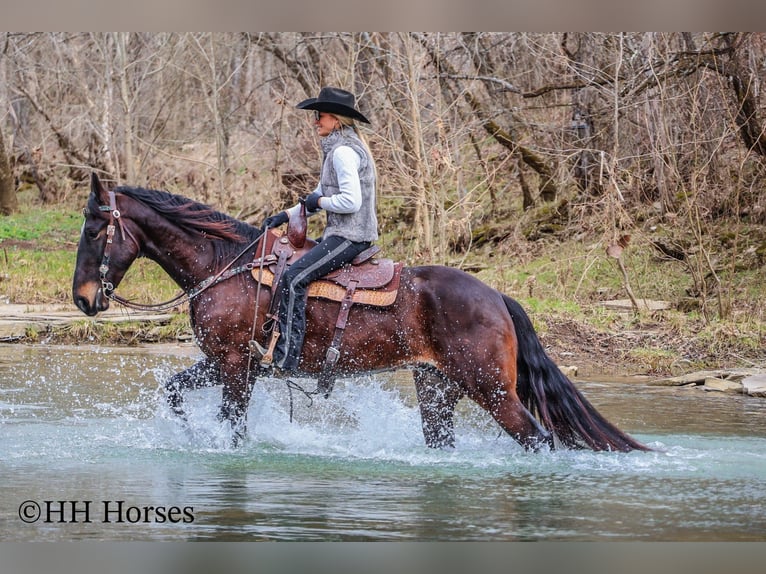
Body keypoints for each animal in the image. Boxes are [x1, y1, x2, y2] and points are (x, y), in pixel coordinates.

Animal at [72, 173, 649, 453]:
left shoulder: (234, 365)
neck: (225, 267)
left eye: (96, 230)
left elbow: (232, 428)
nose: (82, 298)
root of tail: (497, 298)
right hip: (437, 387)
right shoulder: (227, 363)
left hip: (490, 388)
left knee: (537, 438)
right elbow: (172, 392)